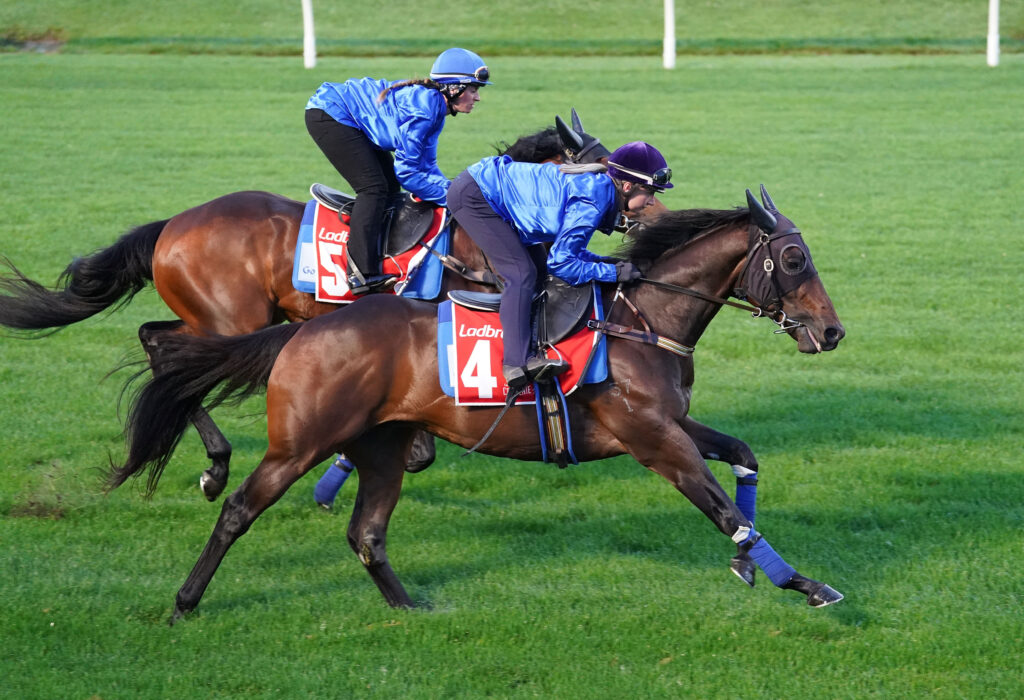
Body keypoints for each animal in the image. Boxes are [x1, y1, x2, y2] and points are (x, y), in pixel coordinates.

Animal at [0, 112, 610, 501]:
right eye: (604, 163)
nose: (628, 209)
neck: (482, 230)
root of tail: (172, 225)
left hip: (224, 318)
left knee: (157, 339)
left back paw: (213, 463)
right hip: (229, 319)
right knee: (176, 356)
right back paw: (216, 467)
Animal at [110, 187, 846, 622]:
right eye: (794, 260)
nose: (833, 331)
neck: (642, 321)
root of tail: (305, 330)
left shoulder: (674, 420)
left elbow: (744, 457)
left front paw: (750, 567)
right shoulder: (654, 439)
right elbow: (726, 513)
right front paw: (803, 583)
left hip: (380, 443)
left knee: (366, 532)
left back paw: (410, 610)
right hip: (298, 438)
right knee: (240, 507)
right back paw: (186, 595)